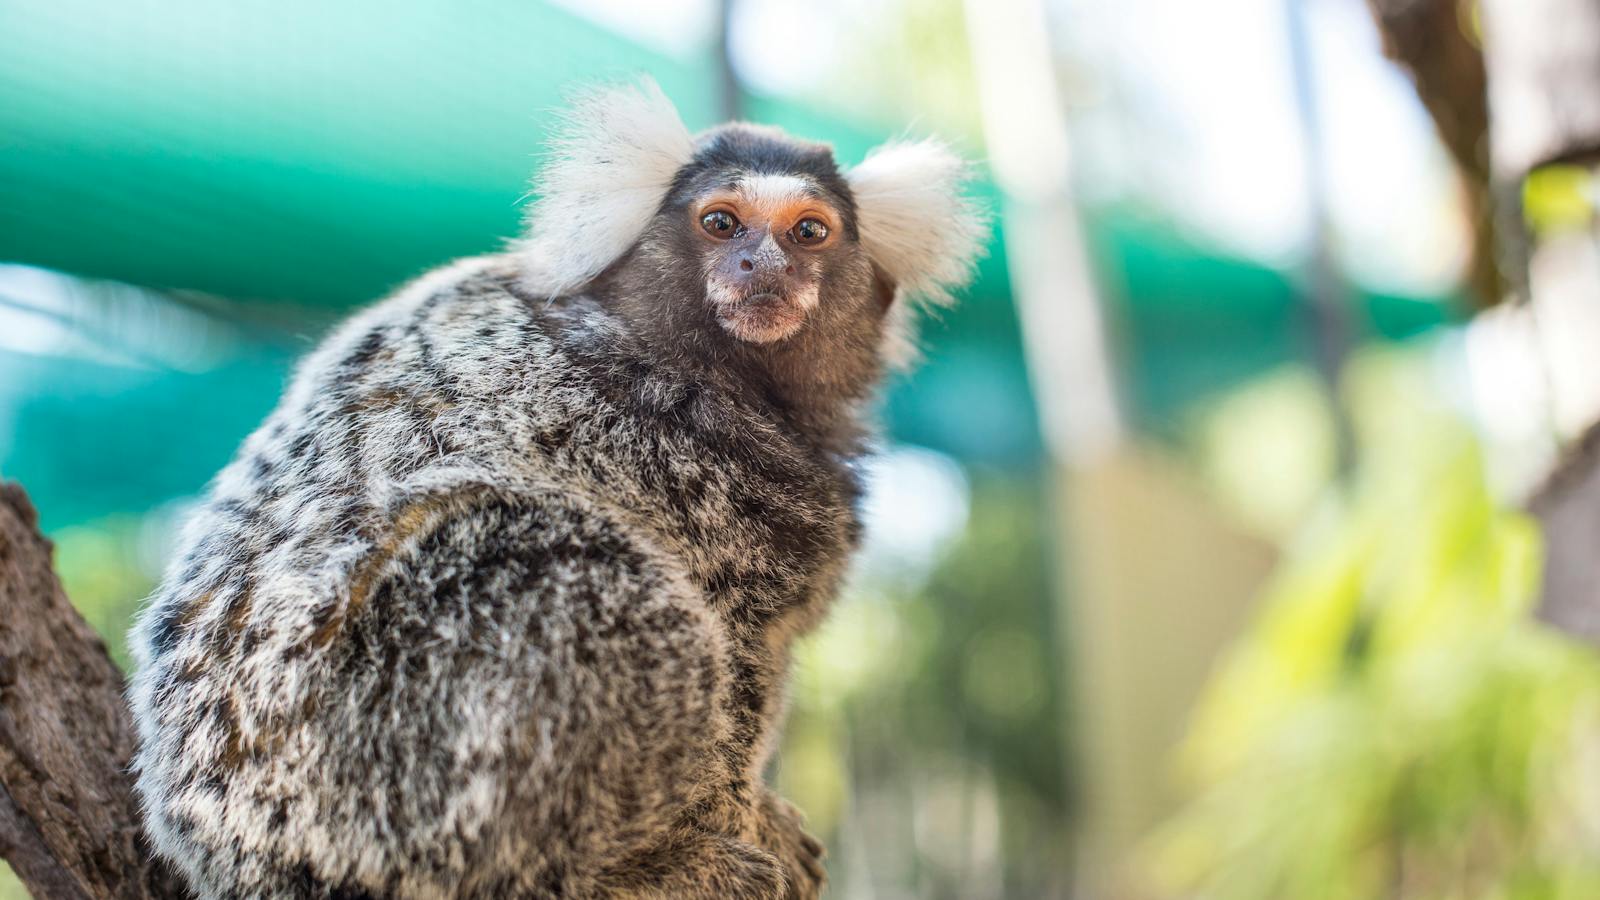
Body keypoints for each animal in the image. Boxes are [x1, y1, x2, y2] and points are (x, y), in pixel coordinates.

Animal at [126, 80, 983, 900]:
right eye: (721, 223)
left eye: (809, 232)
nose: (762, 267)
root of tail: (227, 846)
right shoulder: (663, 452)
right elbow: (730, 675)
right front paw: (734, 821)